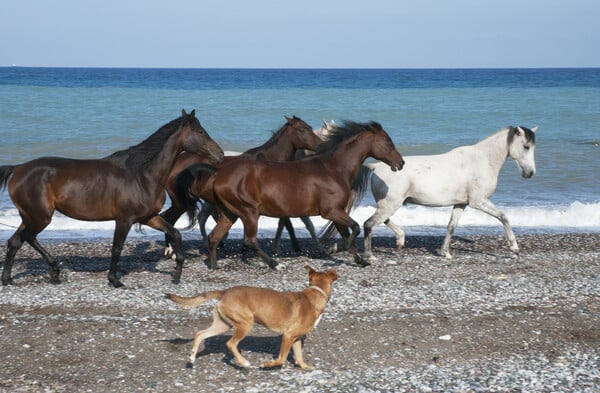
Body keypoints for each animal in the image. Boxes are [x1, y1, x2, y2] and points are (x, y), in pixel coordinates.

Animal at [0, 108, 224, 286]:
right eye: (200, 131)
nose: (220, 154)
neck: (141, 175)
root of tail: (18, 168)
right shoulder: (124, 219)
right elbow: (117, 248)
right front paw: (114, 280)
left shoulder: (148, 217)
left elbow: (175, 233)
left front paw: (177, 273)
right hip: (40, 217)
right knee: (27, 238)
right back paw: (53, 272)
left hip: (29, 216)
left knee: (15, 241)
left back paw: (9, 278)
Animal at [161, 115, 324, 253]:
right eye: (302, 129)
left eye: (310, 127)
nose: (320, 145)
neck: (270, 160)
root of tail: (174, 164)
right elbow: (286, 223)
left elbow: (284, 222)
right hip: (183, 202)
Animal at [164, 264, 338, 370]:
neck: (316, 293)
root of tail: (225, 292)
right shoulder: (288, 336)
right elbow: (281, 358)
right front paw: (269, 364)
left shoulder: (296, 338)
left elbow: (299, 357)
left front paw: (305, 366)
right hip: (246, 323)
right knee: (230, 344)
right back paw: (244, 362)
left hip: (223, 325)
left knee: (200, 334)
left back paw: (192, 357)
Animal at [178, 121, 404, 270]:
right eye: (388, 141)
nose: (400, 163)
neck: (333, 168)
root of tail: (218, 173)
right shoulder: (331, 211)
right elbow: (354, 228)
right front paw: (336, 249)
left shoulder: (337, 211)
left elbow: (347, 231)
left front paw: (359, 259)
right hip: (249, 211)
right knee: (250, 240)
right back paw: (274, 264)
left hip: (229, 213)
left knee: (215, 237)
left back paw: (215, 266)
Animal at [338, 126, 540, 260]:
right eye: (526, 146)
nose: (530, 173)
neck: (480, 160)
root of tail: (375, 166)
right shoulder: (479, 201)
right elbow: (503, 217)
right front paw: (514, 248)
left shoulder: (461, 203)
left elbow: (451, 226)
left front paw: (446, 252)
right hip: (390, 204)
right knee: (369, 223)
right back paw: (370, 255)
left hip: (389, 204)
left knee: (381, 220)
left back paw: (400, 241)